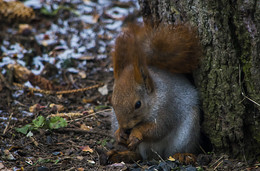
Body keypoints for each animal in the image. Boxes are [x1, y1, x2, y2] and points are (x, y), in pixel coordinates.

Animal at [108, 22, 202, 164]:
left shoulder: (168, 107)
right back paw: (124, 155)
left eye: (138, 104)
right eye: (112, 103)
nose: (126, 127)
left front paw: (136, 133)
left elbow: (158, 129)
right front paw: (119, 134)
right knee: (139, 155)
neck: (154, 98)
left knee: (174, 151)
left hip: (186, 133)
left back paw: (182, 155)